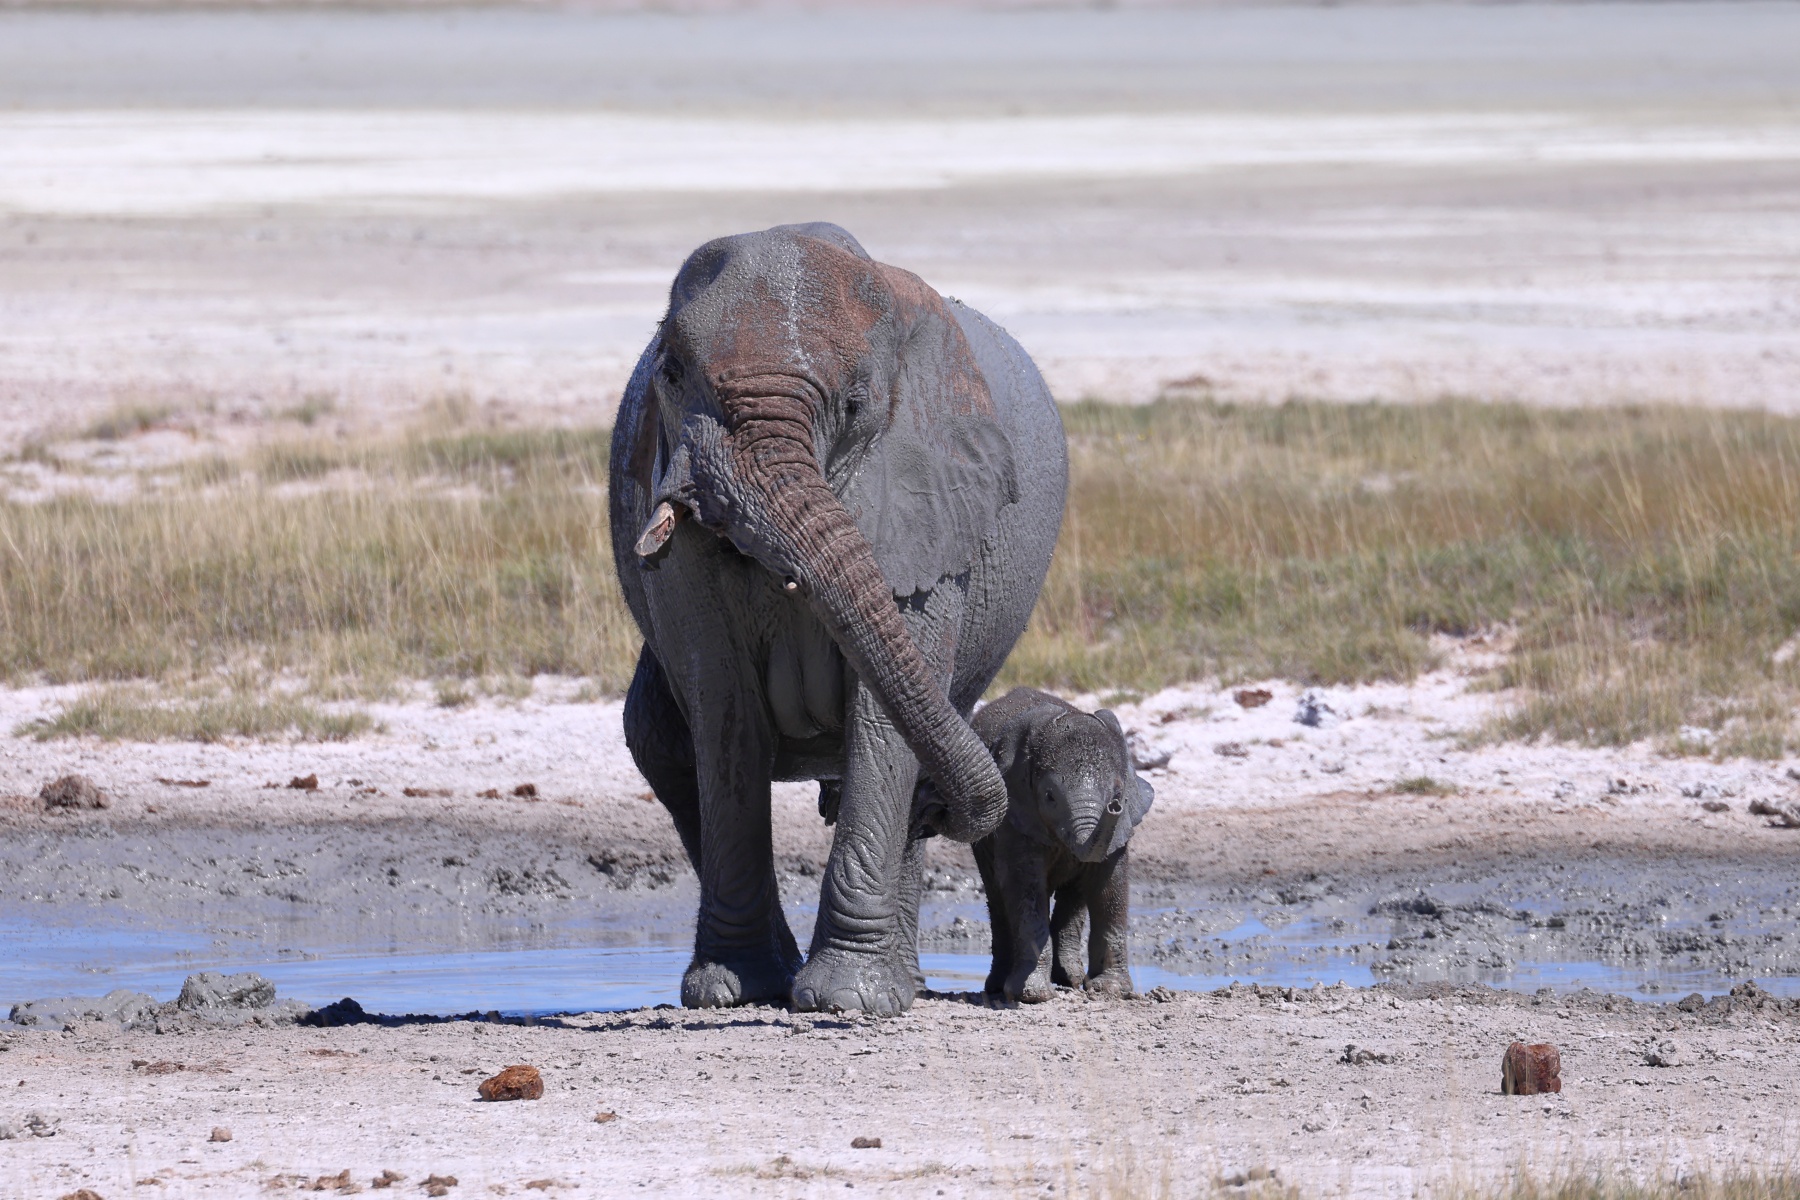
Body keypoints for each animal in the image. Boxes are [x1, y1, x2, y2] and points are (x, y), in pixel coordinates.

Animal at [609, 222, 1067, 1015]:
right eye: (669, 374)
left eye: (854, 405)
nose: (950, 812)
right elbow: (725, 712)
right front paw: (731, 993)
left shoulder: (925, 504)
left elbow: (883, 725)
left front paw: (846, 1003)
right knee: (665, 745)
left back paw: (901, 983)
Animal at [967, 687, 1154, 1004]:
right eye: (1050, 796)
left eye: (1118, 795)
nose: (1114, 808)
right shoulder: (1016, 816)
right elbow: (1024, 886)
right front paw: (1032, 995)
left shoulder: (1120, 829)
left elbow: (1110, 886)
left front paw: (1110, 990)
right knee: (997, 898)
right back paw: (997, 988)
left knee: (1074, 897)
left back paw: (1070, 979)